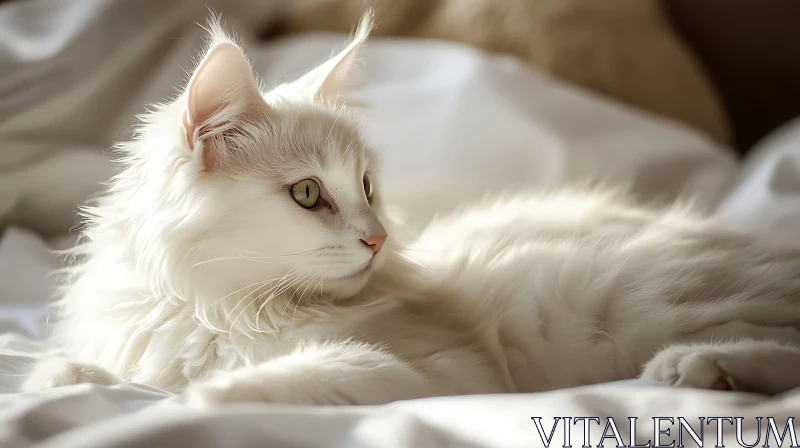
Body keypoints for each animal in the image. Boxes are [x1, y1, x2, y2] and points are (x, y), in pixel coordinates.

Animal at [21, 14, 800, 406]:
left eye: (367, 187)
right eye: (310, 194)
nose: (379, 240)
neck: (223, 306)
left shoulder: (440, 370)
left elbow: (286, 378)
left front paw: (205, 397)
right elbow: (108, 376)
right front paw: (64, 381)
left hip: (646, 300)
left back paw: (701, 368)